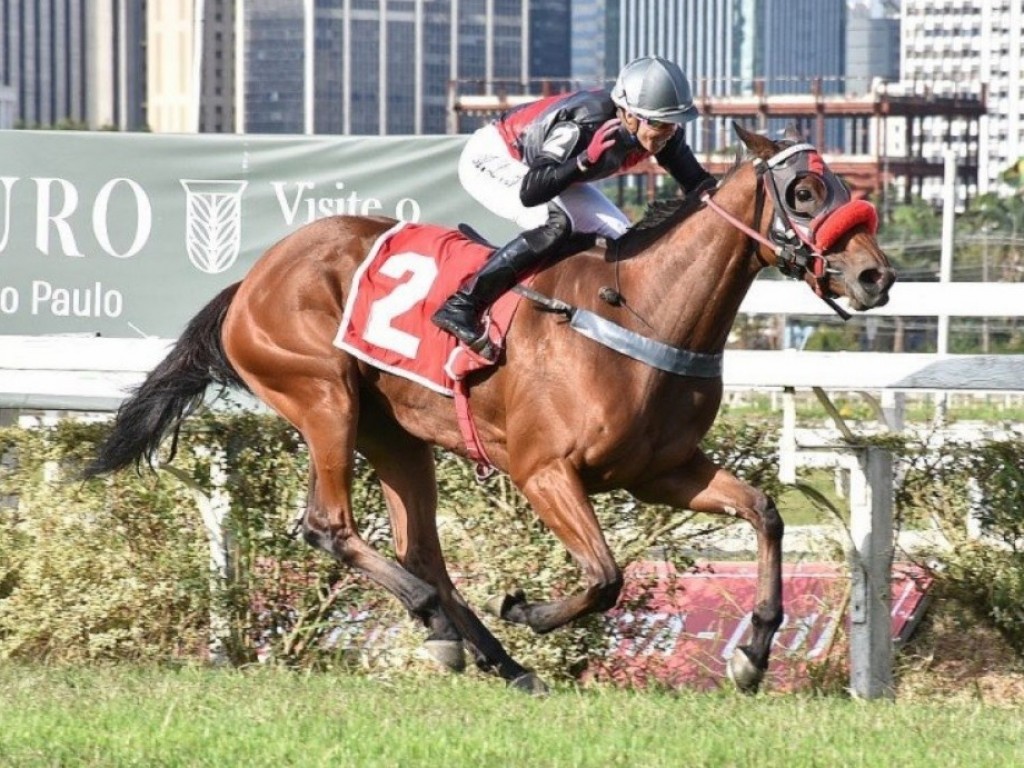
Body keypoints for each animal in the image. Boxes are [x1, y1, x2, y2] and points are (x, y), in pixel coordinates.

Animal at [83, 123, 892, 696]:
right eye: (805, 192)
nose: (874, 276)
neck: (642, 310)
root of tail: (252, 279)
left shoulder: (662, 471)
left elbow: (765, 512)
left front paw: (752, 653)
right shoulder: (544, 471)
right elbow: (605, 575)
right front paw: (529, 610)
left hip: (396, 435)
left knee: (422, 552)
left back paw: (496, 659)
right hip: (323, 398)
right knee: (330, 526)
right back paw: (436, 622)